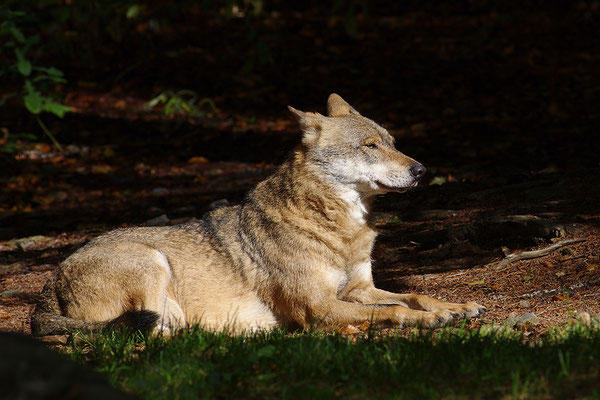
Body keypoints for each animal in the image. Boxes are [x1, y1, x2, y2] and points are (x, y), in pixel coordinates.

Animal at [30, 94, 486, 334]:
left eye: (392, 142)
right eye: (370, 146)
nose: (422, 170)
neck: (336, 230)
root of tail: (46, 288)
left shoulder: (359, 289)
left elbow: (414, 294)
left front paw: (453, 305)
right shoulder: (319, 305)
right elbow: (395, 311)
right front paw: (429, 318)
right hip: (150, 262)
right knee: (151, 335)